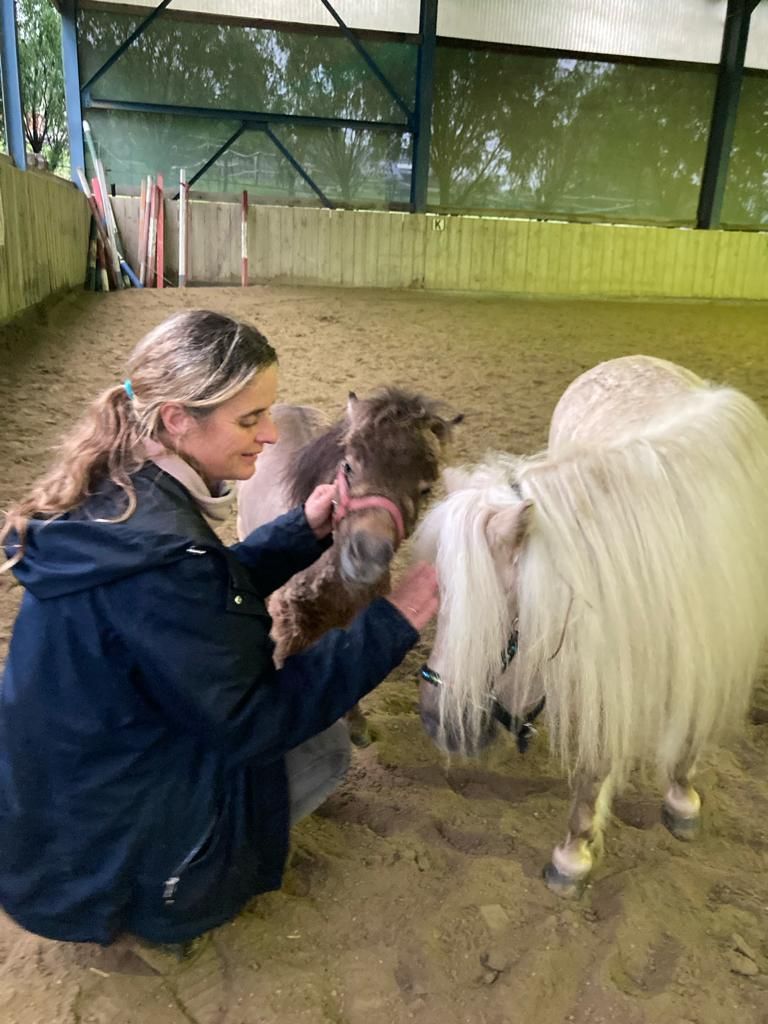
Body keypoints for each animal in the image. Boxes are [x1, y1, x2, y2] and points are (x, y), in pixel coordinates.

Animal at [415, 355, 768, 896]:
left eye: (493, 619)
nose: (436, 723)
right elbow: (598, 757)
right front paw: (573, 855)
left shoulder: (712, 650)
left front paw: (681, 799)